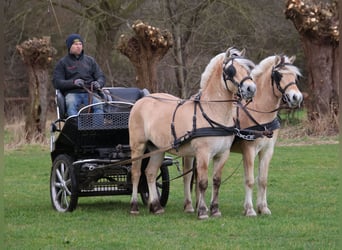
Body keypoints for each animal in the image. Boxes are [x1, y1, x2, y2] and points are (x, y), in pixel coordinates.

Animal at [128, 47, 256, 219]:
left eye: (248, 69)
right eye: (231, 70)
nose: (251, 89)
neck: (212, 111)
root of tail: (142, 101)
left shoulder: (222, 154)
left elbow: (216, 181)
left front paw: (215, 210)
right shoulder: (203, 153)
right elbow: (202, 182)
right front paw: (202, 211)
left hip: (157, 149)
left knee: (150, 173)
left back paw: (156, 206)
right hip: (138, 146)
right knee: (136, 174)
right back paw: (134, 206)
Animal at [183, 54, 304, 217]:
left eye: (295, 76)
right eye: (278, 75)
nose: (296, 97)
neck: (259, 112)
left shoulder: (267, 151)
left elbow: (263, 180)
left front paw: (263, 208)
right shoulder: (249, 150)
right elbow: (250, 180)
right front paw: (250, 209)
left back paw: (199, 206)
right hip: (190, 153)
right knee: (187, 176)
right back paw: (189, 206)